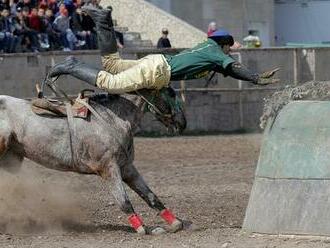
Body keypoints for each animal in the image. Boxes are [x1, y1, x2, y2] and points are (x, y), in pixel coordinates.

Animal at [0, 88, 187, 234]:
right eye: (171, 93)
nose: (183, 123)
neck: (112, 118)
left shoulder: (127, 167)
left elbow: (149, 195)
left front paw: (175, 223)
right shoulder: (108, 168)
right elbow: (124, 201)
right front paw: (143, 228)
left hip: (11, 160)